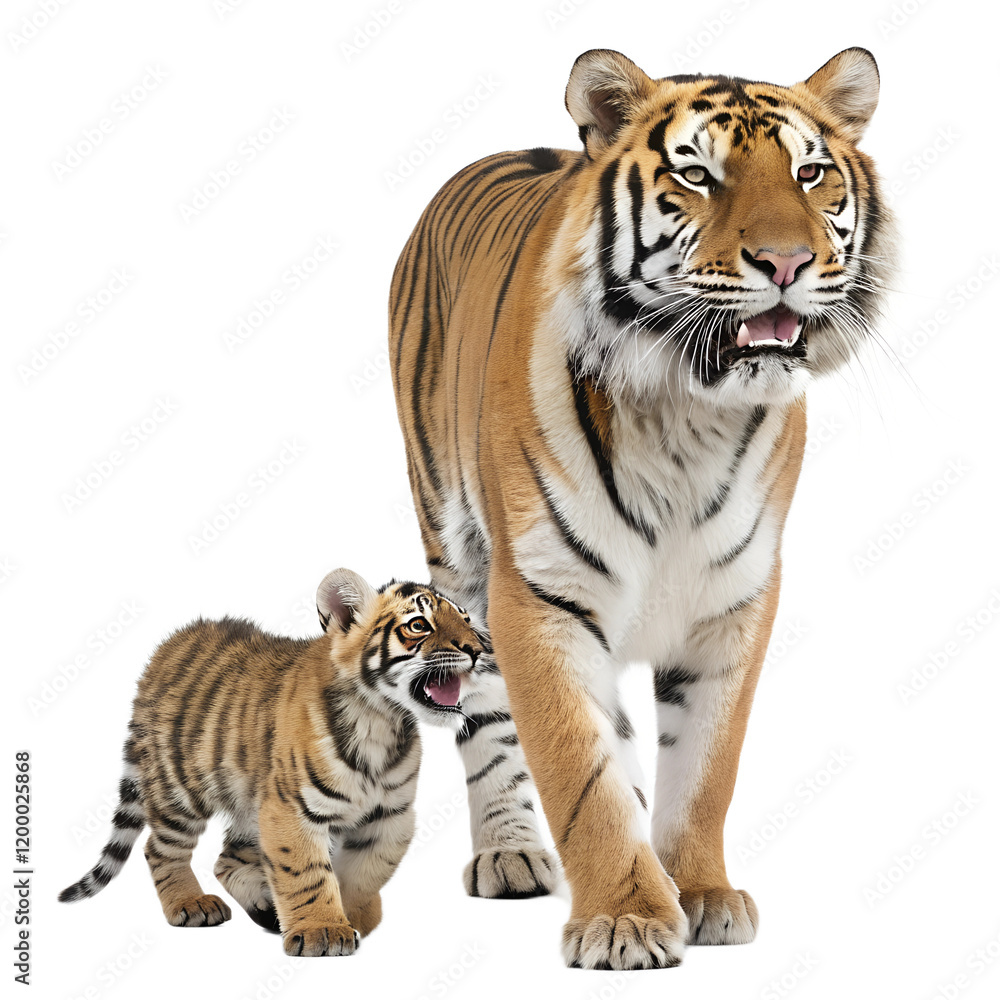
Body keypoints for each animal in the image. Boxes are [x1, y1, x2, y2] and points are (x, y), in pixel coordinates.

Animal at [59, 569, 486, 957]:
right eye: (418, 624)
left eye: (466, 620)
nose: (478, 649)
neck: (382, 720)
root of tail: (167, 646)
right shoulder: (291, 809)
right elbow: (307, 873)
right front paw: (322, 931)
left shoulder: (389, 815)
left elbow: (365, 872)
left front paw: (352, 917)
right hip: (182, 788)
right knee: (160, 848)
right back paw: (190, 903)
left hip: (250, 804)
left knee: (225, 859)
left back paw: (264, 908)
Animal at [389, 47, 895, 969]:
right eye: (697, 175)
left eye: (810, 174)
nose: (786, 263)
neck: (689, 408)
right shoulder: (540, 597)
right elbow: (577, 769)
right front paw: (624, 917)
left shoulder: (735, 599)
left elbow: (703, 768)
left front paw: (698, 893)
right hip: (452, 543)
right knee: (484, 715)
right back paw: (510, 853)